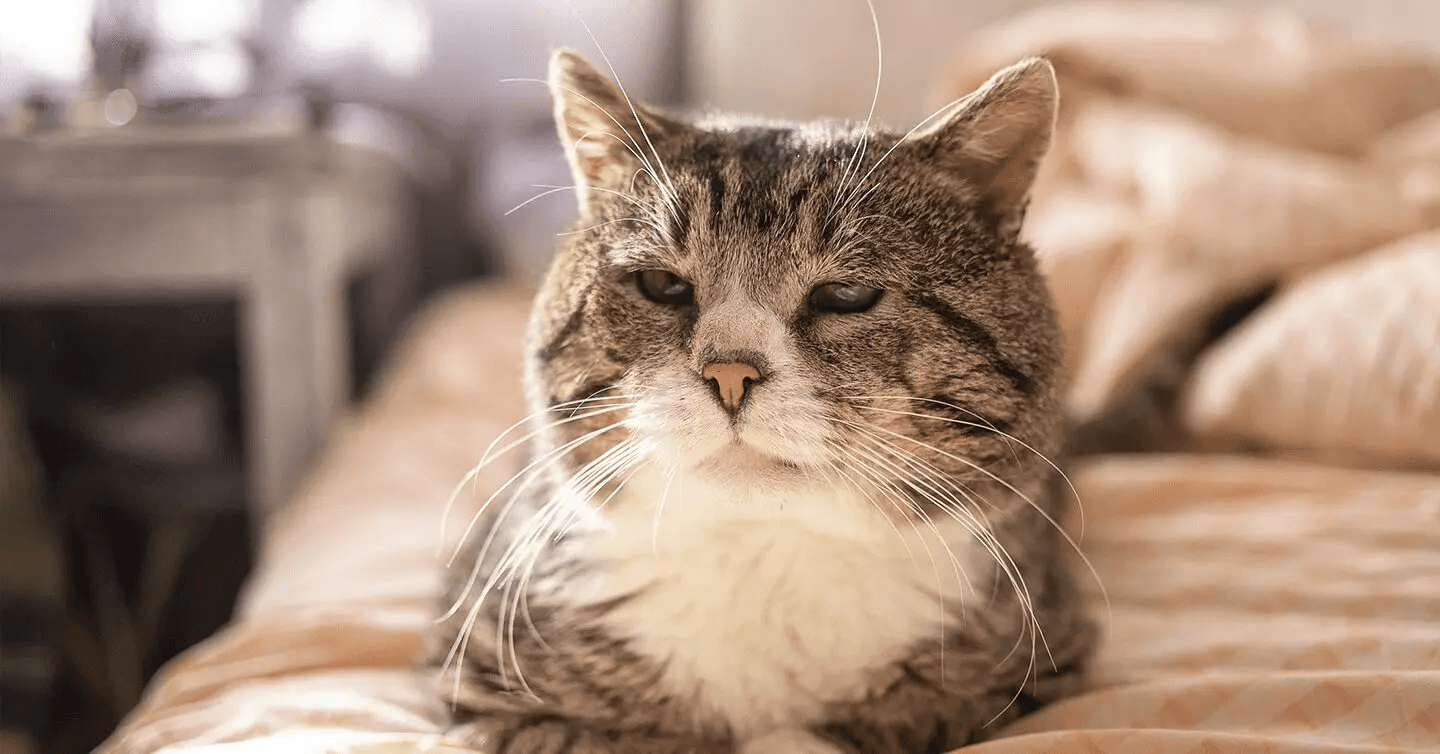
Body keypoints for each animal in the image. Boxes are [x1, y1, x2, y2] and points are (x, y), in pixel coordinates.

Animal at [420, 48, 1094, 754]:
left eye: (846, 294)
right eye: (661, 284)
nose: (730, 373)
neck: (763, 558)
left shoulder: (1037, 671)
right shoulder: (480, 686)